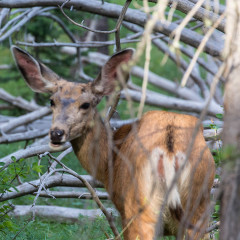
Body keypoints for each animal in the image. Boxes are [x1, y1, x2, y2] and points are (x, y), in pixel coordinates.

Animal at [11, 46, 216, 240]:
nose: (56, 133)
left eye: (86, 104)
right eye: (52, 101)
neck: (109, 162)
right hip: (199, 205)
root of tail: (169, 145)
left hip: (138, 203)